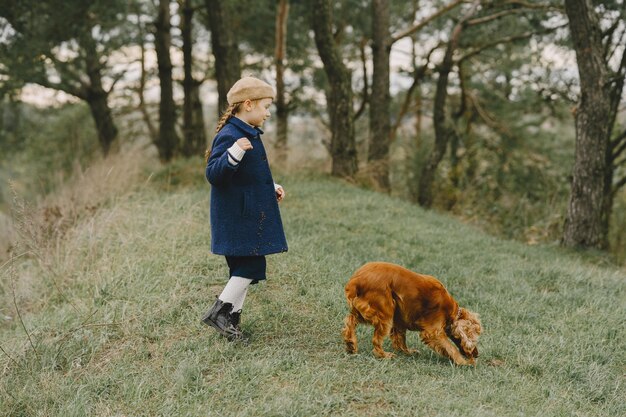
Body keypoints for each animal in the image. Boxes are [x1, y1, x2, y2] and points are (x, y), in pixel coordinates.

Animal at [344, 262, 480, 366]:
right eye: (475, 339)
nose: (477, 354)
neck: (452, 312)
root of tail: (356, 280)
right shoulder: (433, 332)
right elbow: (450, 347)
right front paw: (464, 362)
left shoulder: (399, 321)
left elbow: (400, 339)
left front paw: (407, 352)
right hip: (384, 313)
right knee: (376, 341)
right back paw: (384, 355)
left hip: (367, 311)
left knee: (349, 320)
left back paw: (350, 344)